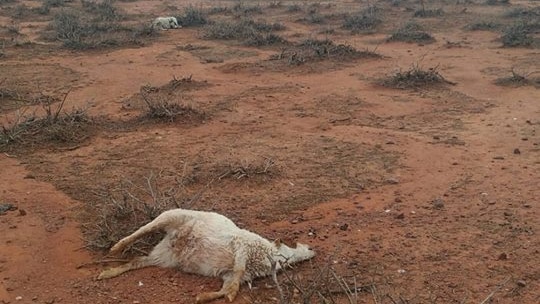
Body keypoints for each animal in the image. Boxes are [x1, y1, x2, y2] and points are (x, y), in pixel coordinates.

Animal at [99, 208, 314, 302]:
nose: (312, 249)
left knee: (137, 261)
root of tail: (173, 241)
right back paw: (116, 248)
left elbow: (230, 285)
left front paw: (206, 297)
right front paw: (226, 296)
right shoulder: (241, 247)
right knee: (142, 231)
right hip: (171, 216)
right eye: (289, 246)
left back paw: (107, 272)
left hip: (163, 257)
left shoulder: (232, 274)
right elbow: (237, 273)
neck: (265, 255)